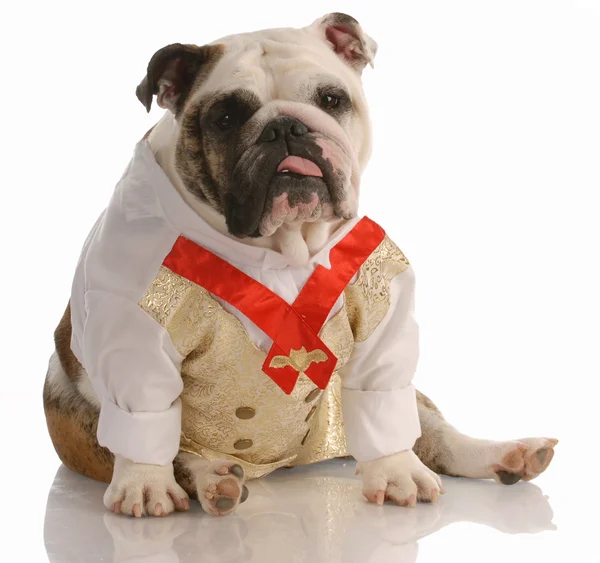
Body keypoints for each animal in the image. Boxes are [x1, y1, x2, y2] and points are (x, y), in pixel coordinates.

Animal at [43, 12, 556, 520]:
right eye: (225, 118)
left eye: (331, 99)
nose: (285, 127)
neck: (282, 247)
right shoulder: (132, 328)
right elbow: (146, 416)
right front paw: (145, 484)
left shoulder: (381, 309)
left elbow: (385, 401)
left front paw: (395, 471)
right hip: (73, 407)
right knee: (172, 452)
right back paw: (213, 479)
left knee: (432, 431)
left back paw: (508, 454)